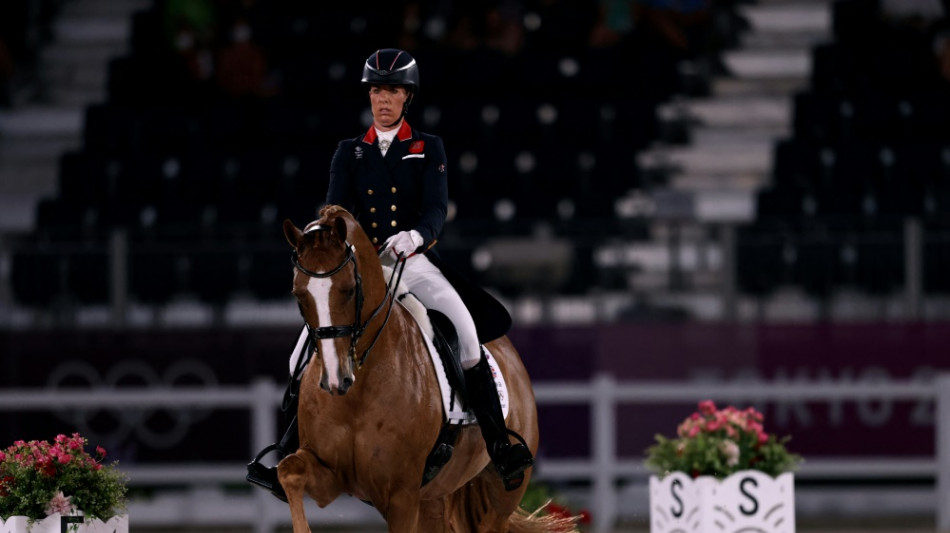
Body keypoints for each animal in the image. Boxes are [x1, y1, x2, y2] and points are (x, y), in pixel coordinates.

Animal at [272, 206, 576, 532]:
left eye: (350, 290)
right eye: (298, 294)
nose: (336, 380)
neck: (360, 390)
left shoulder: (401, 495)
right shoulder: (332, 476)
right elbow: (289, 471)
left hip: (499, 496)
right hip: (433, 498)